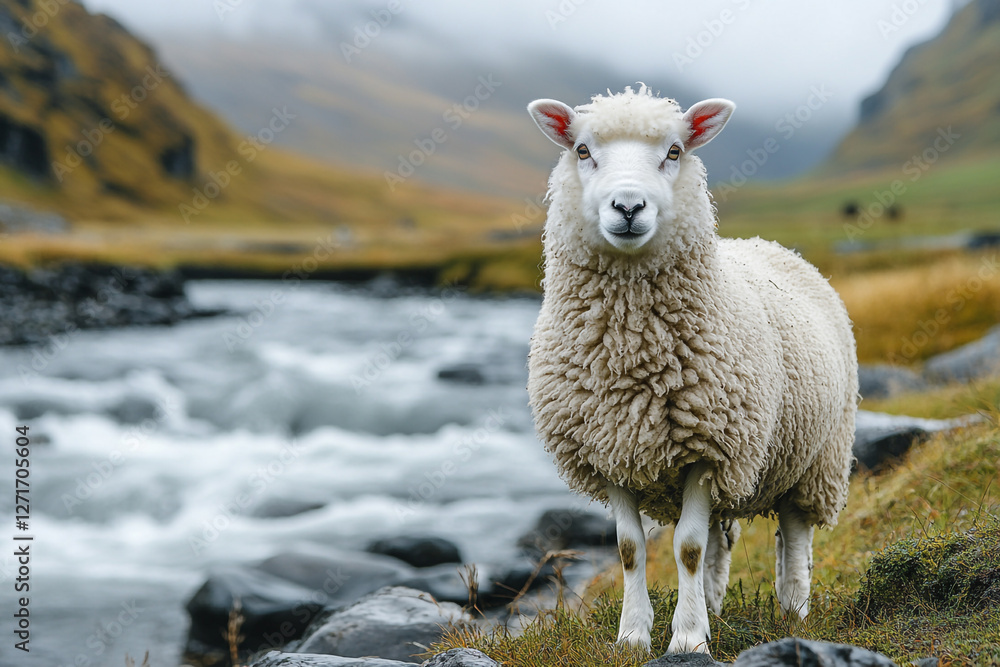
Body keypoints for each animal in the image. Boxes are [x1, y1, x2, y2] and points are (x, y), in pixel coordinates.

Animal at [525, 86, 858, 655]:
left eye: (675, 151)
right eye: (583, 150)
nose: (628, 206)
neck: (633, 356)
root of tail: (770, 245)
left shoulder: (708, 447)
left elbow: (687, 547)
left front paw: (687, 641)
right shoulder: (608, 448)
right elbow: (632, 548)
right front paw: (635, 636)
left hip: (815, 456)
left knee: (794, 533)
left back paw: (793, 612)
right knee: (724, 539)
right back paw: (714, 607)